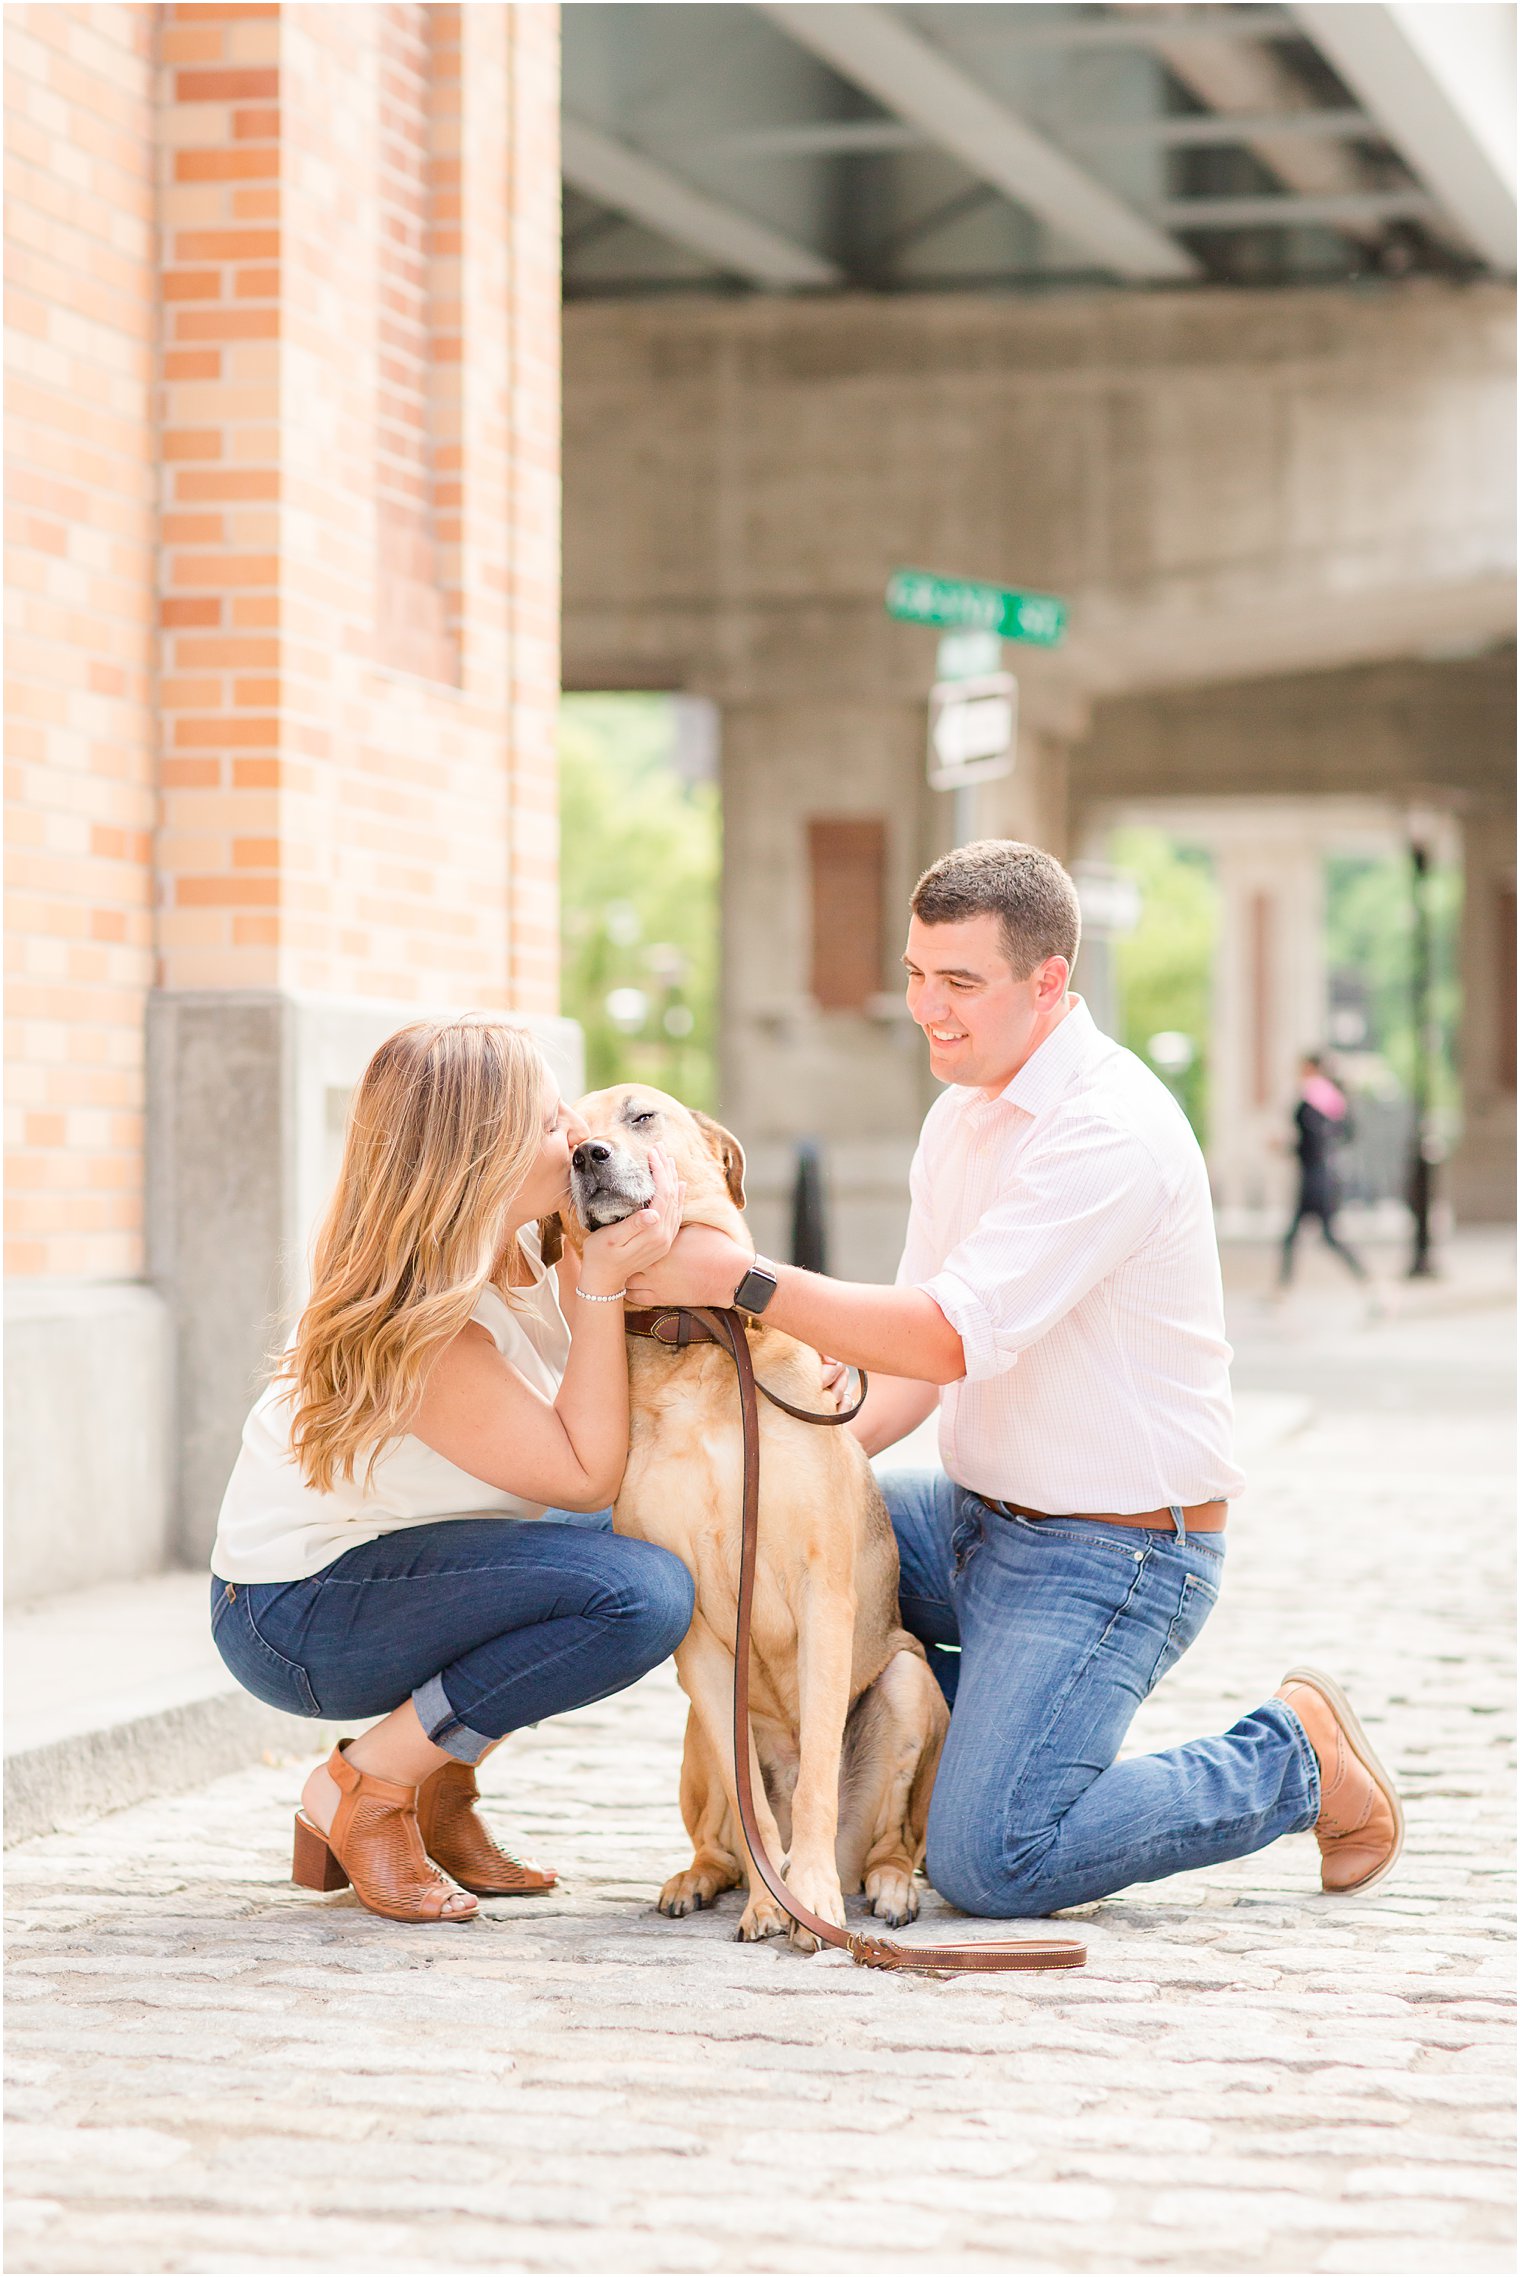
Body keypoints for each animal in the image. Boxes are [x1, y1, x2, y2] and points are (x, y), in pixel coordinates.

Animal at [546, 1079, 942, 1940]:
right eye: (562, 1135)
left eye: (640, 1115)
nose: (586, 1155)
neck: (696, 1339)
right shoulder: (698, 1635)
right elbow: (754, 1802)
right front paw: (771, 1900)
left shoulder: (824, 1590)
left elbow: (819, 1771)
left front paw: (813, 1897)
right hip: (698, 1726)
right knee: (727, 1828)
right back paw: (701, 1878)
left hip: (908, 1683)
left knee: (894, 1836)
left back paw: (885, 1885)